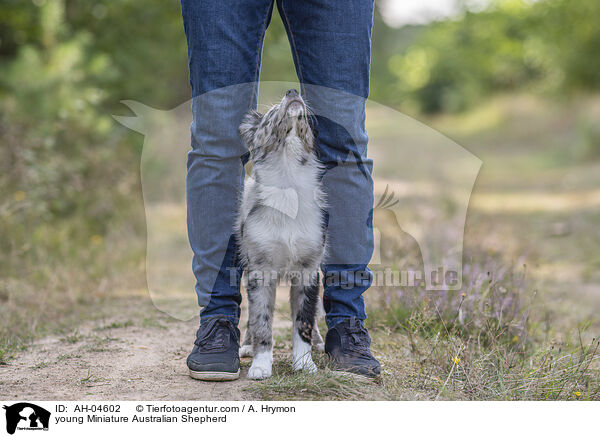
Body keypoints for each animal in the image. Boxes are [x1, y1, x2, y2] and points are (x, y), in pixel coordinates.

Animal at [237, 89, 326, 378]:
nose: (293, 91)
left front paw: (305, 364)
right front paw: (260, 365)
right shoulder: (260, 270)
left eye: (306, 121)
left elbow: (304, 322)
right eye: (272, 112)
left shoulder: (309, 271)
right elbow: (261, 320)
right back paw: (246, 345)